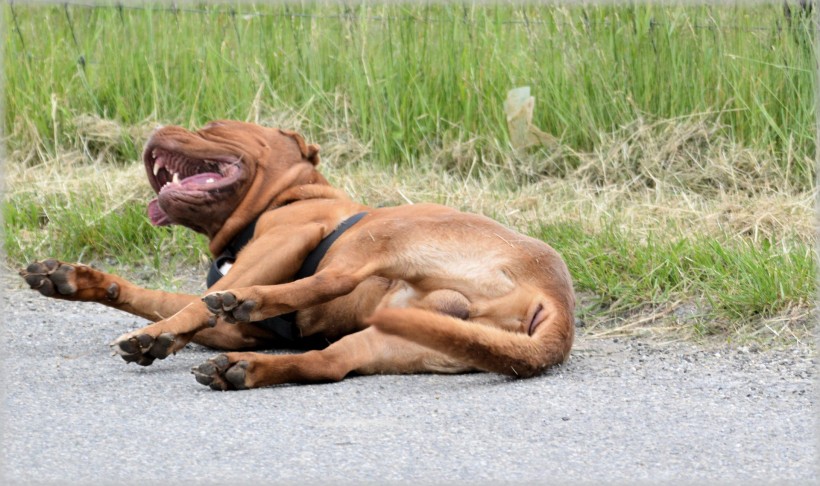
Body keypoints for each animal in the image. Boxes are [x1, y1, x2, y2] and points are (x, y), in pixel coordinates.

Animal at [19, 120, 572, 392]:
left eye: (213, 125)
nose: (153, 129)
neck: (290, 195)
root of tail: (558, 306)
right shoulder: (243, 330)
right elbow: (160, 298)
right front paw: (76, 280)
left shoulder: (285, 241)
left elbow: (192, 305)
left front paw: (157, 335)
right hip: (404, 337)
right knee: (328, 364)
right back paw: (241, 371)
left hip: (388, 234)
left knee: (333, 279)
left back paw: (249, 300)